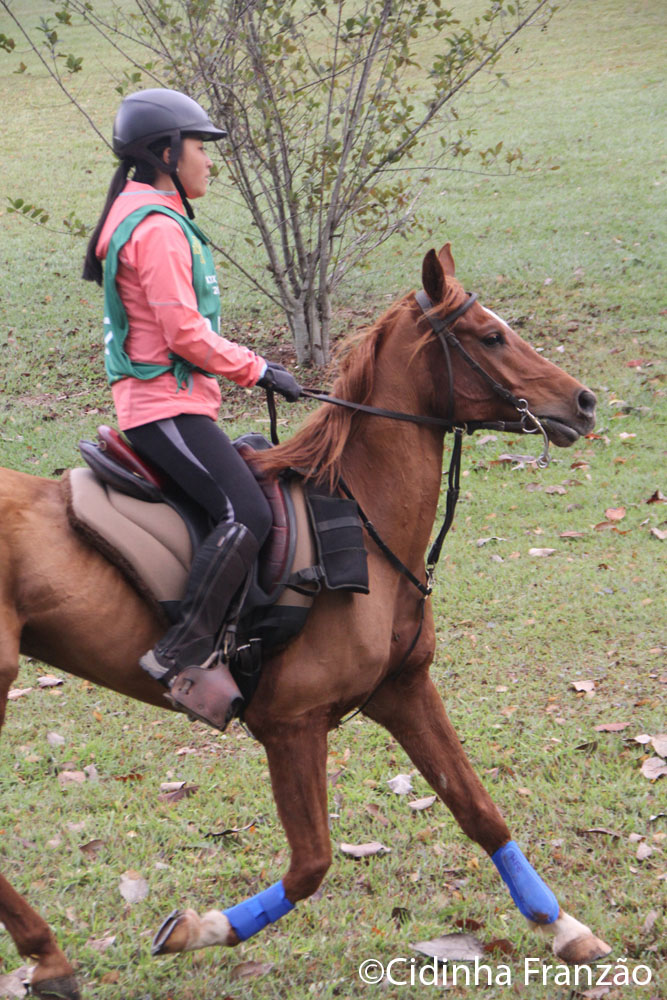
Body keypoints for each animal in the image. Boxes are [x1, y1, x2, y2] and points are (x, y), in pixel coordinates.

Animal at [0, 245, 609, 1000]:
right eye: (491, 337)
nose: (583, 402)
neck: (365, 520)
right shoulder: (291, 723)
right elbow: (312, 861)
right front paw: (199, 930)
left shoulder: (403, 689)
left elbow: (479, 811)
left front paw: (566, 930)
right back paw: (49, 956)